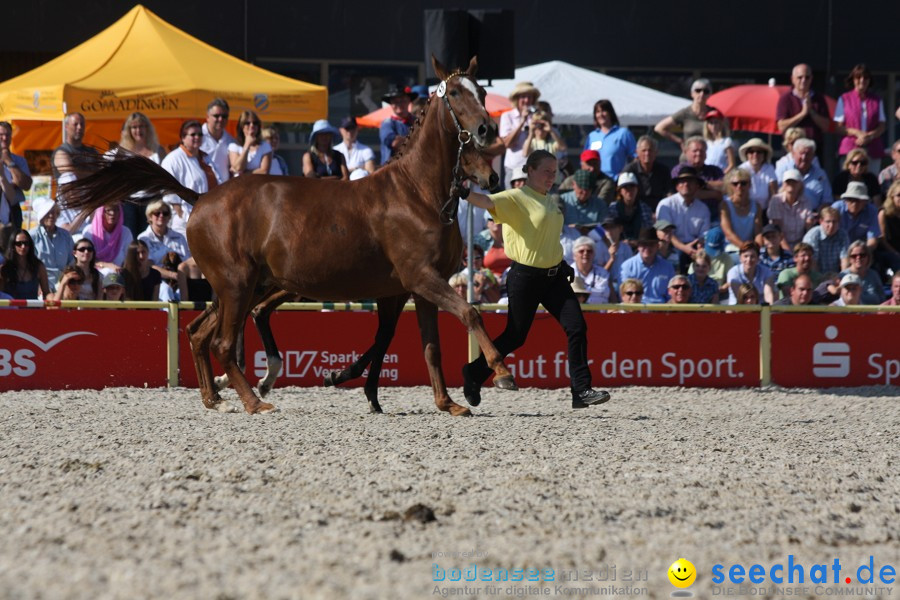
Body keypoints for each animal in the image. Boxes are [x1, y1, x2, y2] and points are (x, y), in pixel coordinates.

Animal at [61, 58, 512, 418]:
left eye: (482, 91)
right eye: (456, 93)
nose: (487, 130)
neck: (416, 192)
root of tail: (202, 197)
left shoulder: (414, 288)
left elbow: (428, 345)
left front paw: (448, 402)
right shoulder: (420, 278)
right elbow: (470, 312)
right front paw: (501, 372)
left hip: (239, 288)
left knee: (201, 334)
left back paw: (215, 397)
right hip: (238, 285)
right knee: (222, 342)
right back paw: (254, 400)